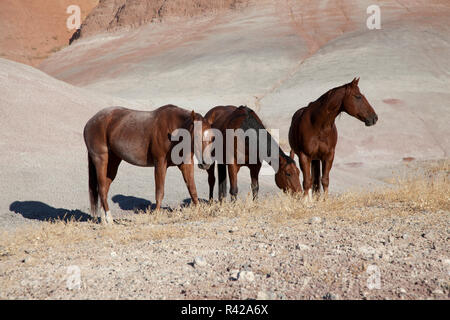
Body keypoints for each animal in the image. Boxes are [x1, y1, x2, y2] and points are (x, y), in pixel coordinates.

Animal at [83, 104, 214, 222]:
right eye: (197, 136)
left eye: (213, 138)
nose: (206, 163)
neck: (173, 130)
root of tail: (91, 122)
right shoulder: (160, 163)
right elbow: (160, 191)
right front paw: (156, 215)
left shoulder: (186, 165)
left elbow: (192, 189)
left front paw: (199, 211)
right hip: (101, 160)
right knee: (101, 188)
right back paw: (109, 219)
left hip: (113, 162)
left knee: (104, 188)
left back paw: (104, 220)